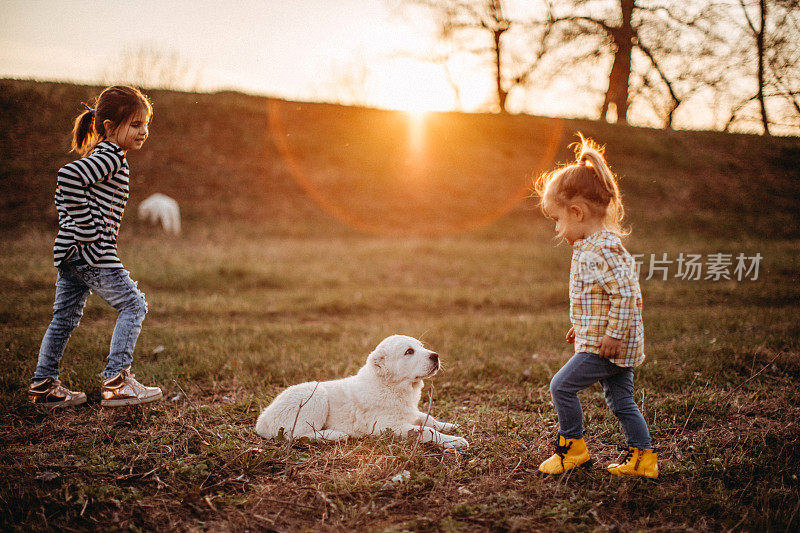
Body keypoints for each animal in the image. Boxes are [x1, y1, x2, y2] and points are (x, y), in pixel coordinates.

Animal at [255, 334, 468, 446]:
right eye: (409, 352)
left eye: (421, 346)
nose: (435, 355)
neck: (391, 386)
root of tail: (261, 421)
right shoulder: (388, 426)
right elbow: (427, 431)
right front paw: (455, 440)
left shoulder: (409, 413)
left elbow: (428, 419)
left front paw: (450, 426)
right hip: (315, 396)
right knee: (295, 434)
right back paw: (335, 435)